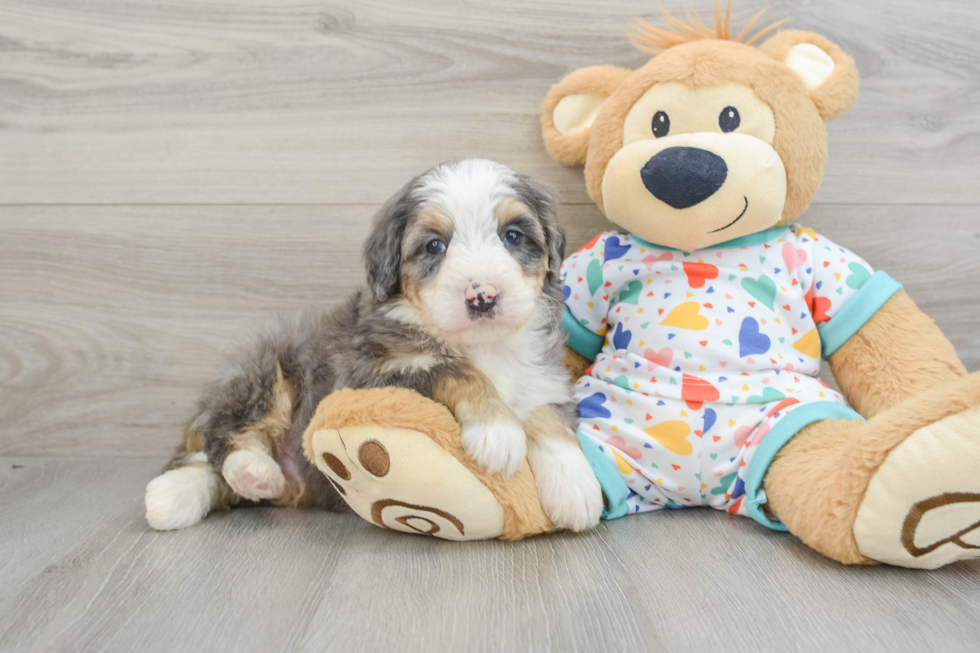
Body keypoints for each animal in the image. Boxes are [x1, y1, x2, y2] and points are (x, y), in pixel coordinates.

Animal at [145, 160, 604, 532]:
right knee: (222, 437)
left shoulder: (546, 377)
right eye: (434, 245)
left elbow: (548, 416)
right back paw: (248, 469)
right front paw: (497, 429)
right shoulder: (372, 374)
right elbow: (453, 369)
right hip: (268, 363)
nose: (483, 296)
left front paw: (576, 486)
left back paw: (187, 494)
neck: (485, 348)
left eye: (512, 236)